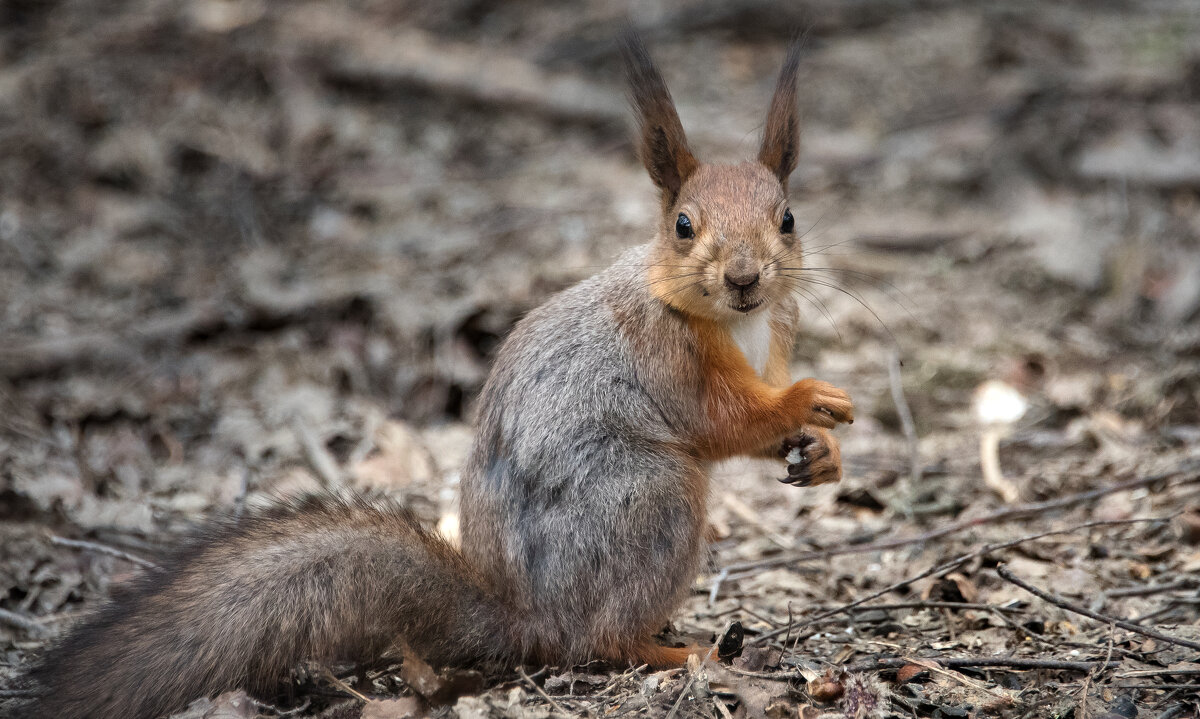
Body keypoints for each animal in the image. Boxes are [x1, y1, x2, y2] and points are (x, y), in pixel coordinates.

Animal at [9, 32, 854, 719]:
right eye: (682, 226)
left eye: (786, 219)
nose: (744, 278)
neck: (737, 322)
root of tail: (527, 617)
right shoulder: (668, 354)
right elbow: (722, 419)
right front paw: (807, 399)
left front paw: (821, 452)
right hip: (651, 498)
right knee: (598, 639)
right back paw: (679, 649)